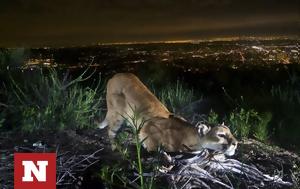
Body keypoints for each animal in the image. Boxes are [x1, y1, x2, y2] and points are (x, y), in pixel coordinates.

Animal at [97, 73, 238, 156]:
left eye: (231, 133)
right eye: (221, 135)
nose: (236, 143)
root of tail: (115, 76)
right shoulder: (147, 128)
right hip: (118, 115)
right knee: (110, 131)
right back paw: (116, 148)